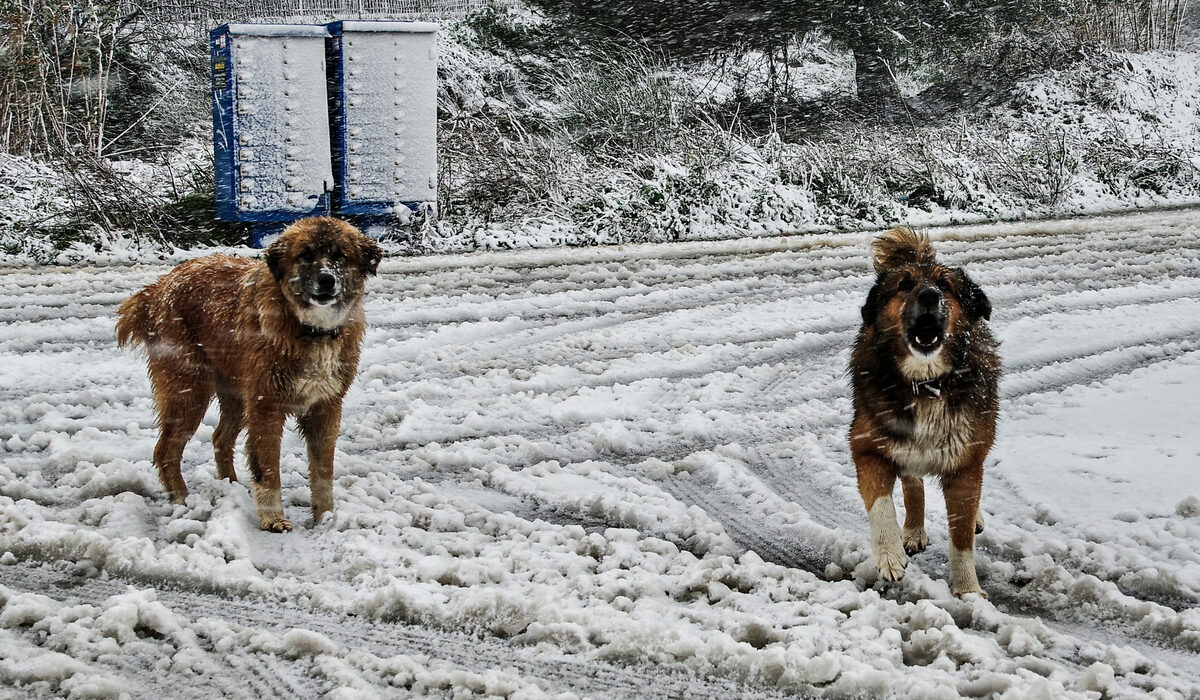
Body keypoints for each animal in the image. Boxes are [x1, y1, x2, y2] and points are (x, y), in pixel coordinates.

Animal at [115, 217, 379, 530]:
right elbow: (268, 468)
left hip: (236, 395)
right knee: (165, 449)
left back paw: (230, 486)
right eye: (305, 255)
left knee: (220, 438)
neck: (309, 329)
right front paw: (273, 519)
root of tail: (157, 288)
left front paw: (325, 517)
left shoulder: (325, 407)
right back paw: (180, 498)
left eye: (340, 256)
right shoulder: (266, 406)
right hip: (189, 391)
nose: (326, 280)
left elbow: (323, 470)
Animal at [849, 226, 998, 600]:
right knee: (912, 484)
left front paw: (967, 589)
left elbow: (961, 536)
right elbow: (881, 505)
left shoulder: (964, 463)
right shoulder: (867, 447)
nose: (929, 295)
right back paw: (913, 531)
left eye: (946, 286)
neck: (926, 383)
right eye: (903, 285)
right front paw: (889, 555)